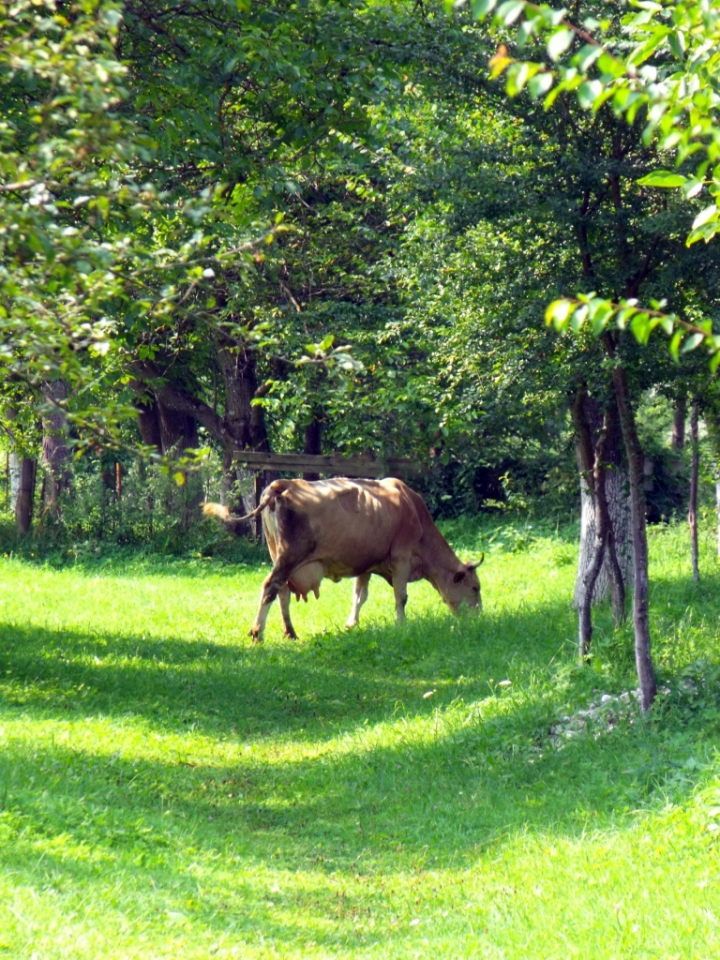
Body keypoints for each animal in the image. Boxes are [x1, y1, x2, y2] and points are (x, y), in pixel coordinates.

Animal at [202, 474, 484, 640]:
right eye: (475, 587)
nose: (479, 617)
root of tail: (281, 485)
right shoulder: (401, 558)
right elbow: (401, 596)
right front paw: (401, 624)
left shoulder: (367, 564)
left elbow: (359, 596)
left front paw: (351, 624)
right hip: (289, 556)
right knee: (270, 588)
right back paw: (258, 633)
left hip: (278, 556)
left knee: (281, 592)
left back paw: (290, 632)